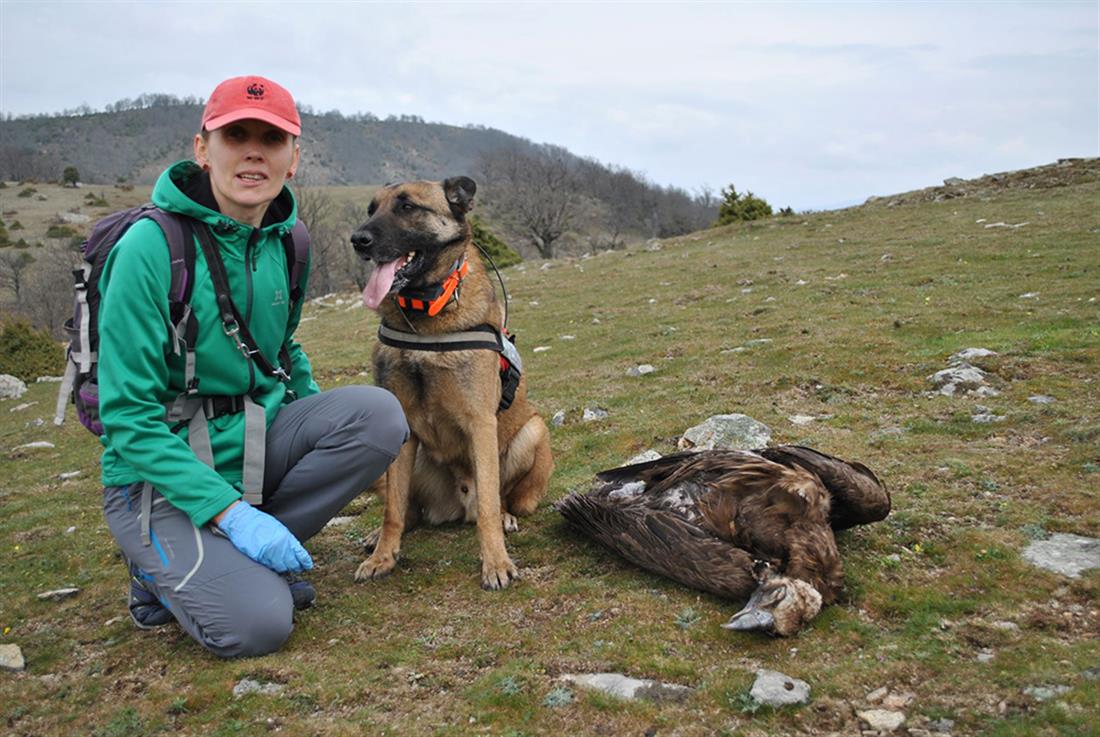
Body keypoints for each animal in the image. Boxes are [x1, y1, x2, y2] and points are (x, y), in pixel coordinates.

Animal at [349, 176, 554, 594]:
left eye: (408, 207)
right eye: (371, 209)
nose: (358, 239)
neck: (423, 313)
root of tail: (458, 506)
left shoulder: (481, 422)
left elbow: (490, 506)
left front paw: (496, 562)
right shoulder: (402, 426)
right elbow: (393, 510)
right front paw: (383, 557)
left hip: (533, 432)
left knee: (498, 500)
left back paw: (507, 518)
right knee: (408, 508)